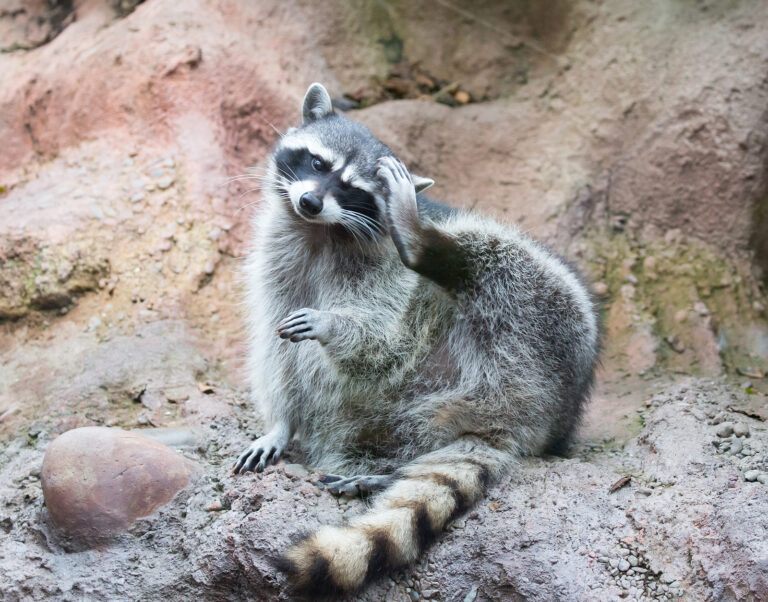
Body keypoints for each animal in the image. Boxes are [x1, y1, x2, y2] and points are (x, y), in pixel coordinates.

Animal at [234, 83, 600, 595]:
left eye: (354, 191)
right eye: (319, 164)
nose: (310, 203)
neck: (319, 231)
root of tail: (530, 418)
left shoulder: (383, 276)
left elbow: (384, 342)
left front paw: (334, 326)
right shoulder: (279, 263)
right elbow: (277, 354)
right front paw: (281, 424)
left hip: (552, 324)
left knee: (494, 253)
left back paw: (427, 245)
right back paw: (384, 471)